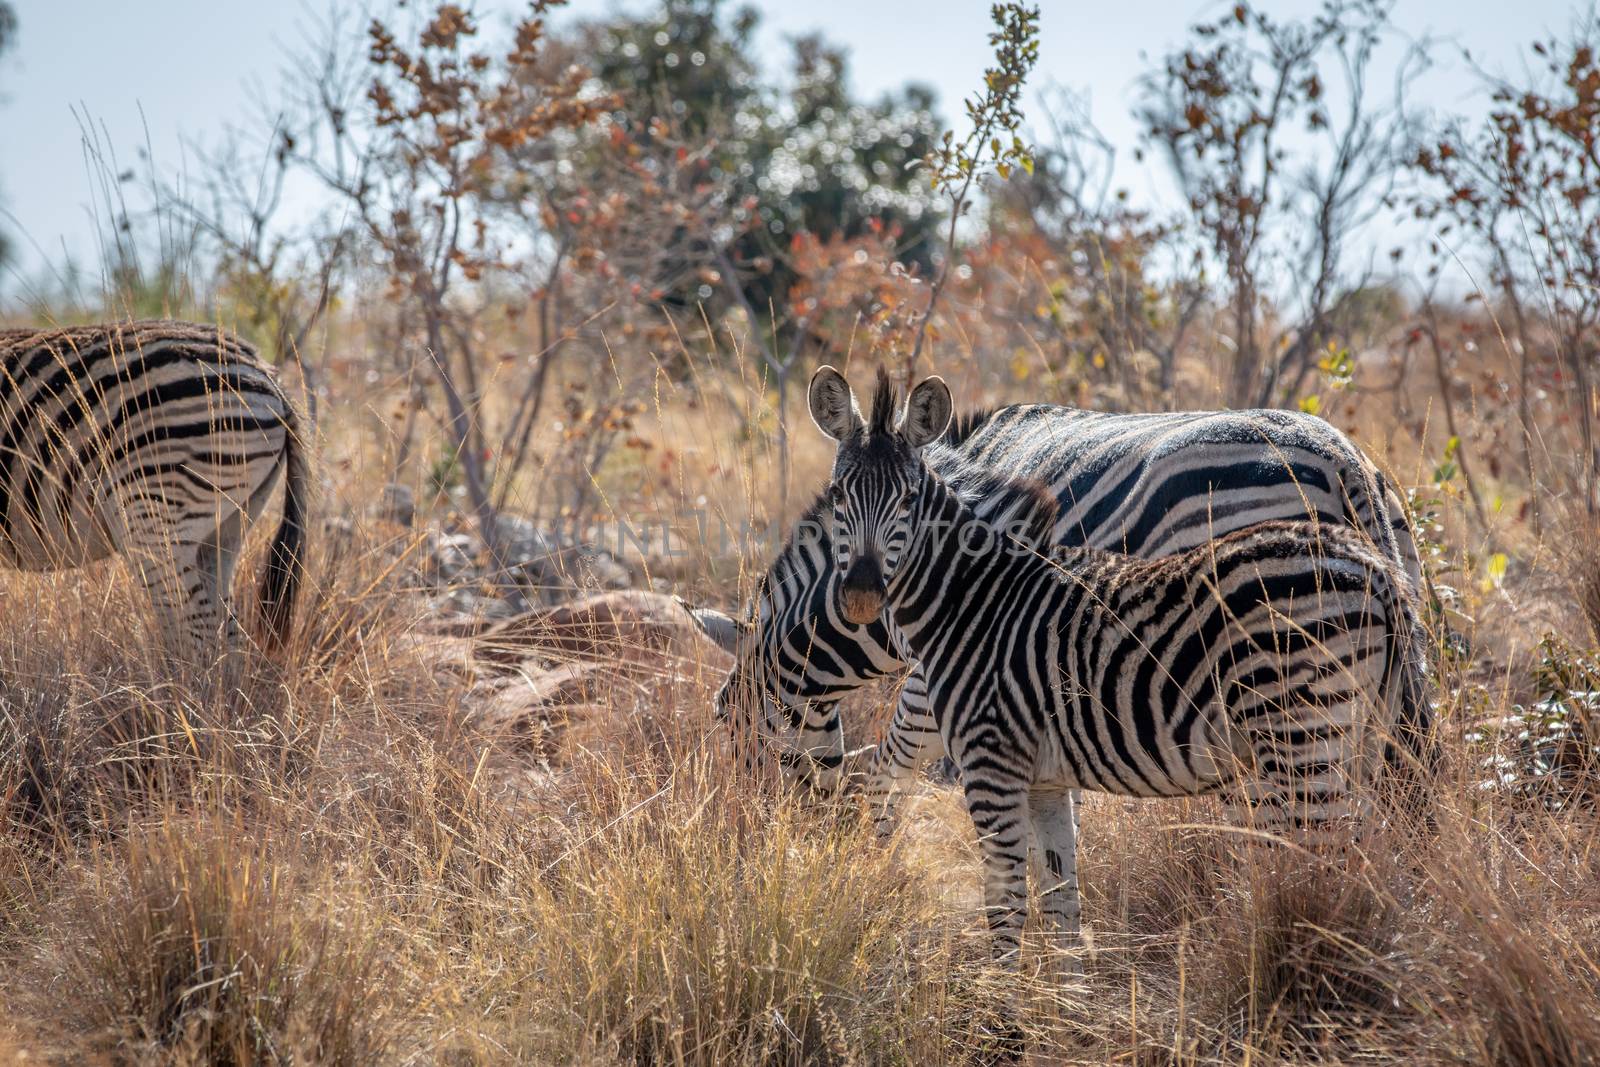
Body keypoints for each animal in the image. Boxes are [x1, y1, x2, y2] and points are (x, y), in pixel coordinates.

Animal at [812, 363, 1427, 966]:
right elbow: (1060, 895)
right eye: (838, 494)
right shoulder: (1044, 775)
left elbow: (1001, 902)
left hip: (1298, 735)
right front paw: (1062, 988)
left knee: (1324, 857)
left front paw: (997, 992)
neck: (972, 596)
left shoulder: (988, 752)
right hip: (1358, 732)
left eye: (908, 499)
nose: (862, 595)